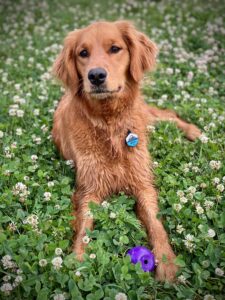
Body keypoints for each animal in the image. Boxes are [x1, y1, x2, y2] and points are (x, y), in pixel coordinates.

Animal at [51, 21, 201, 282]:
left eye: (115, 48)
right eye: (83, 53)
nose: (96, 76)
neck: (110, 123)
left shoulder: (142, 184)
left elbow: (155, 223)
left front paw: (168, 262)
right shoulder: (89, 189)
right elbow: (84, 227)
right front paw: (78, 261)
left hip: (148, 115)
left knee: (169, 115)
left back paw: (195, 132)